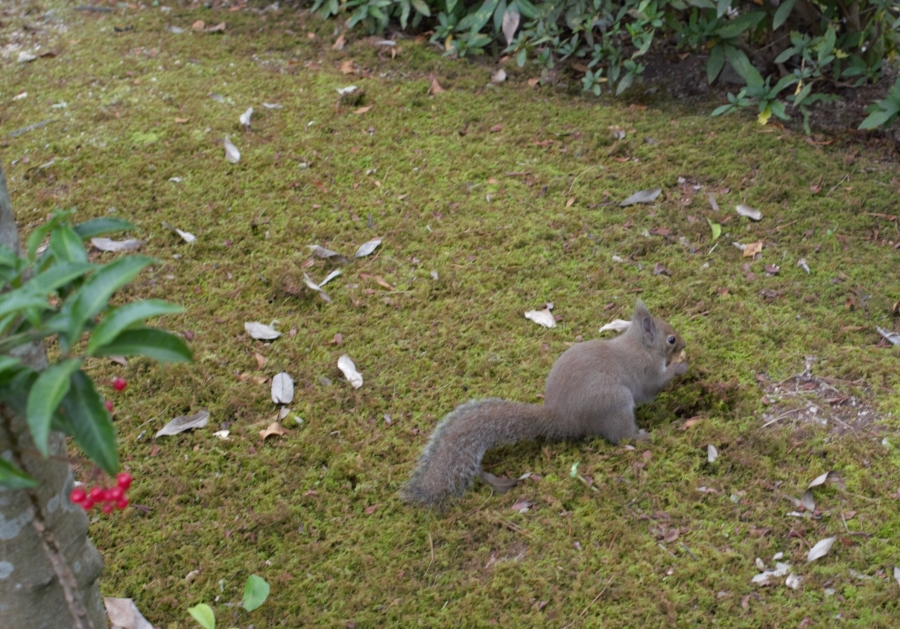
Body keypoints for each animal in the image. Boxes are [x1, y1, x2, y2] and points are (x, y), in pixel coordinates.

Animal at [401, 301, 688, 507]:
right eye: (671, 339)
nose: (684, 343)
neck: (640, 345)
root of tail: (562, 417)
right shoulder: (645, 372)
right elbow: (653, 386)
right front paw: (681, 367)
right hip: (616, 402)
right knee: (620, 436)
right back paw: (643, 436)